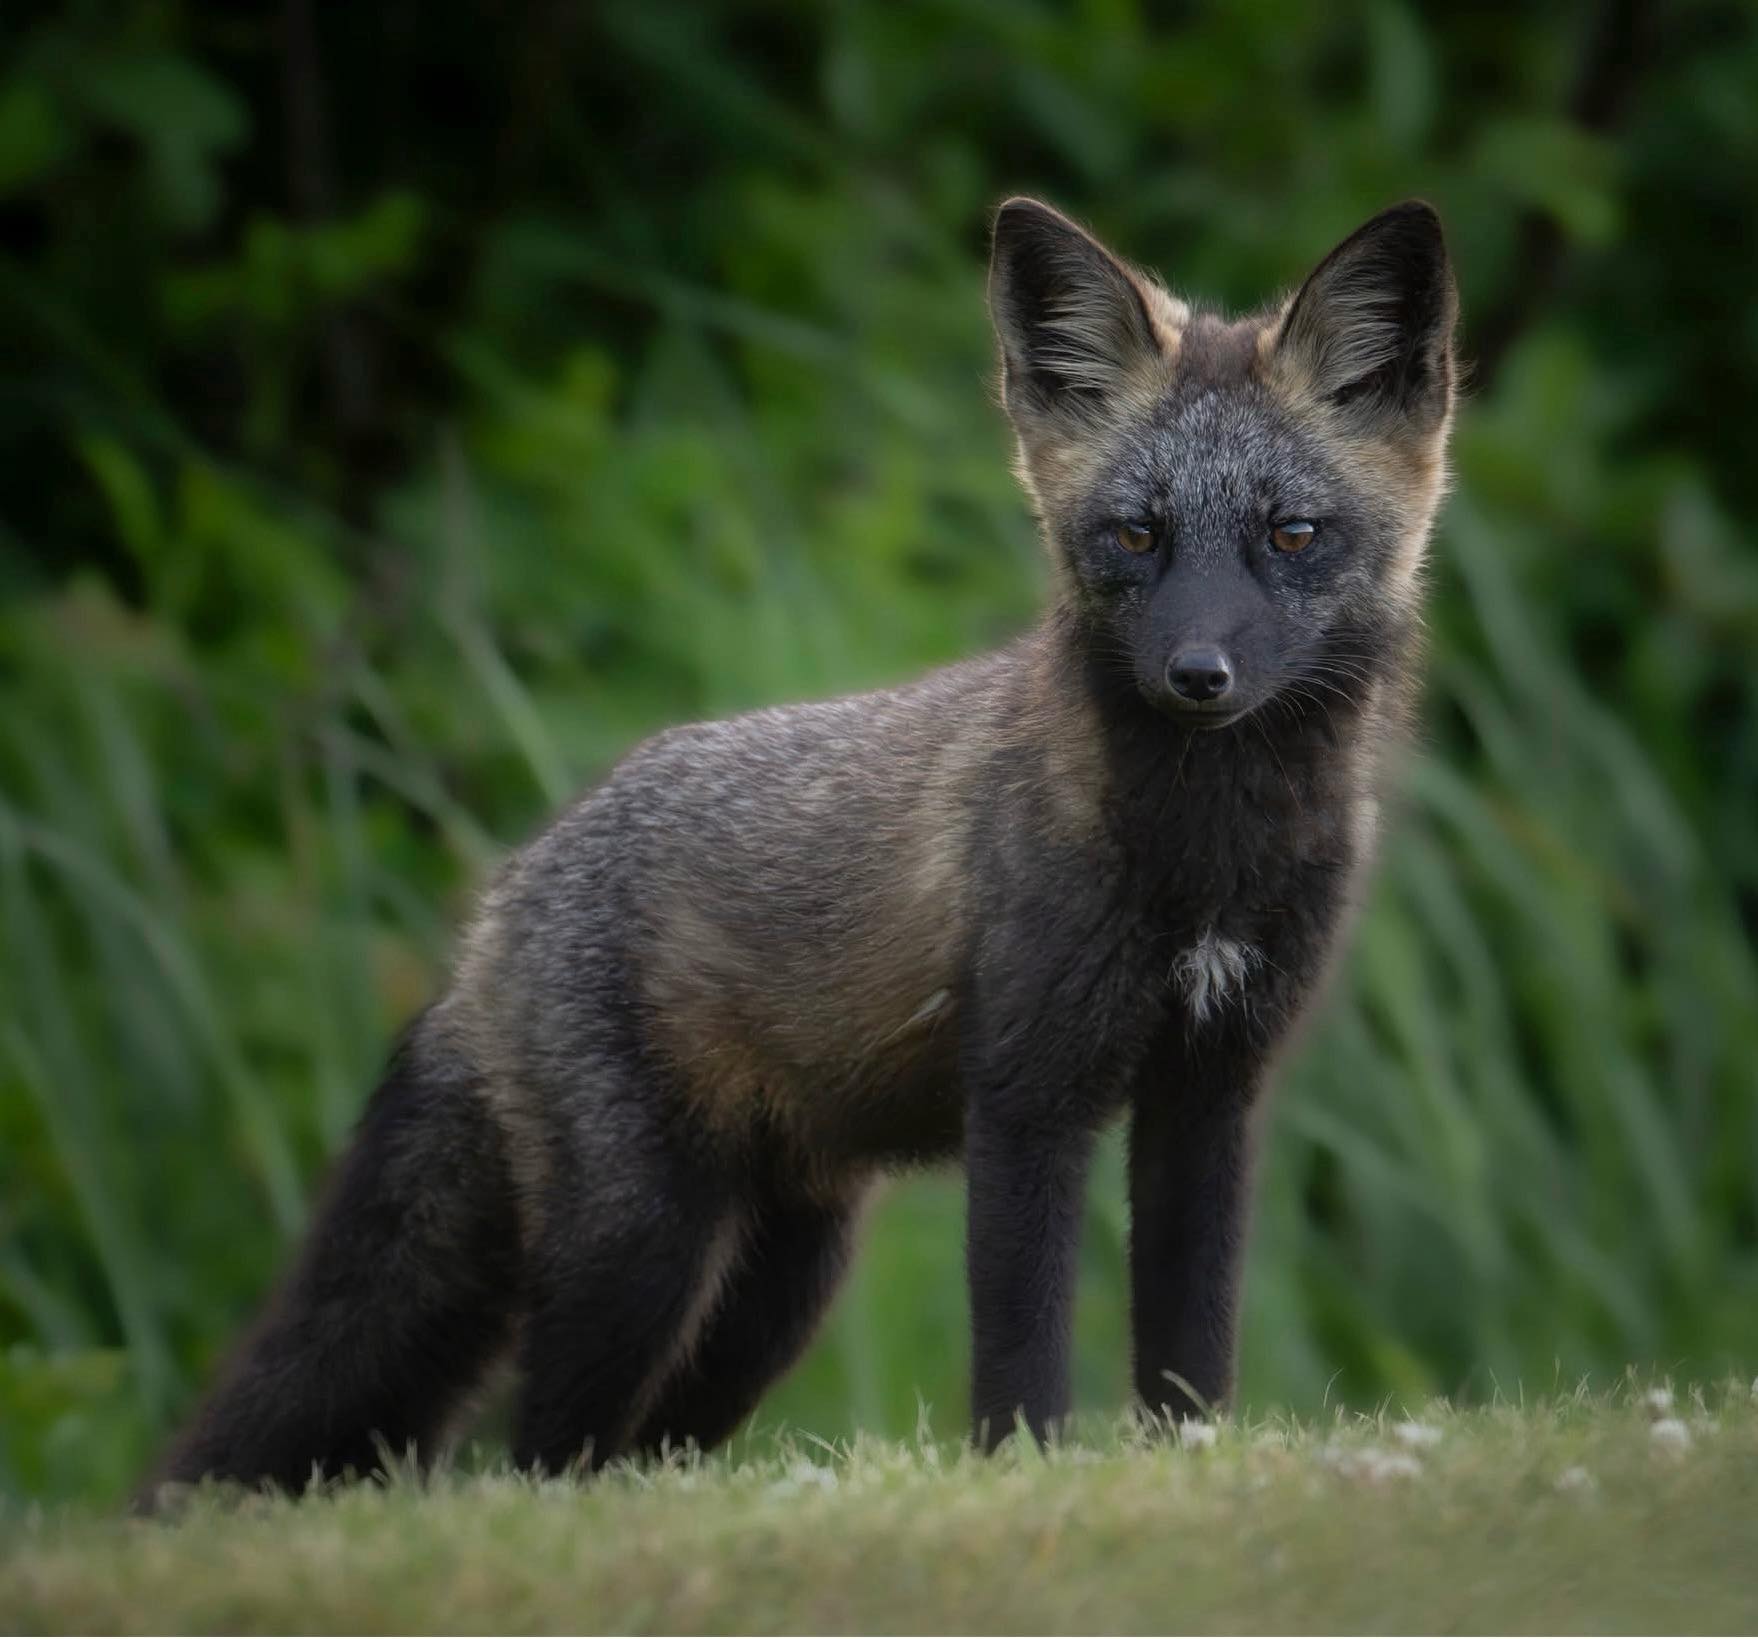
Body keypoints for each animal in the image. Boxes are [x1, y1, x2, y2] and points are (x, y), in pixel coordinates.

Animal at [144, 196, 1457, 1501]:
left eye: (1290, 534)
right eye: (1137, 536)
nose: (1198, 675)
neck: (1208, 864)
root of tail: (497, 904)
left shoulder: (1210, 1091)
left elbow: (1190, 1348)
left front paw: (1188, 1468)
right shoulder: (1026, 1096)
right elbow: (1021, 1353)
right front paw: (1021, 1481)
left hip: (777, 1292)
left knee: (643, 1449)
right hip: (637, 1256)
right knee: (539, 1456)